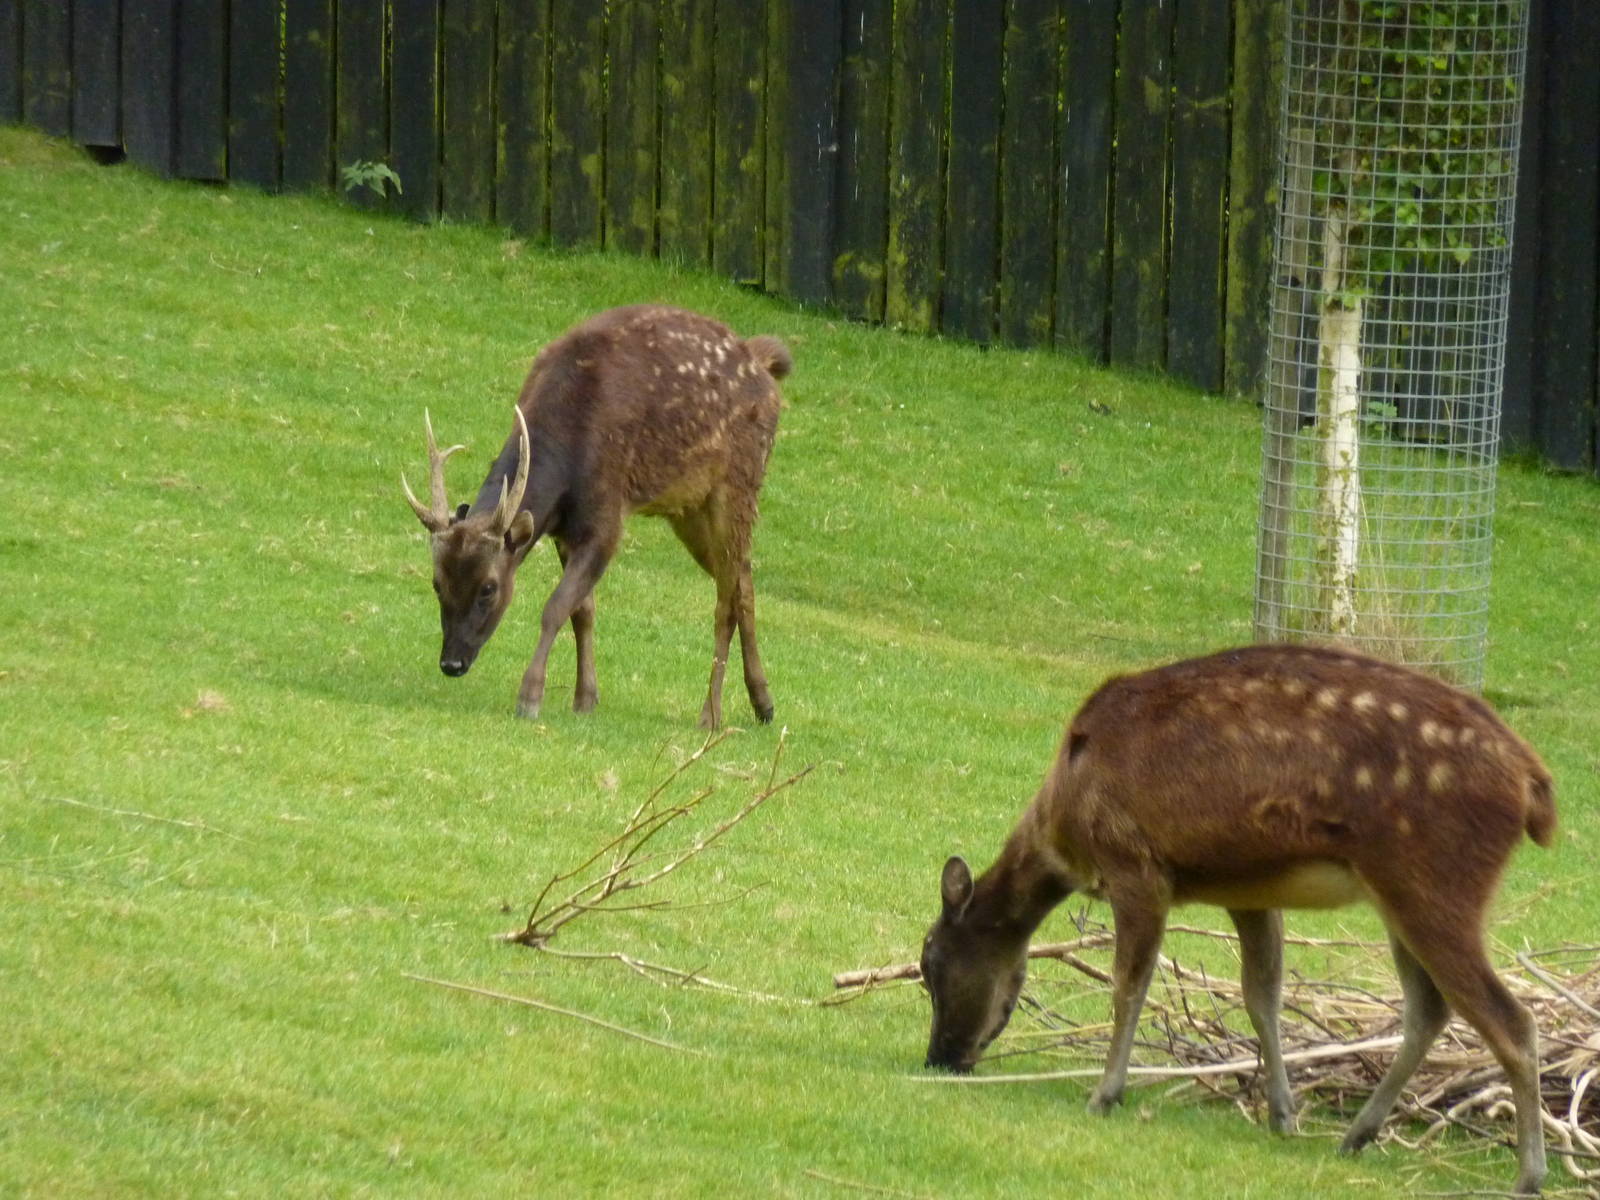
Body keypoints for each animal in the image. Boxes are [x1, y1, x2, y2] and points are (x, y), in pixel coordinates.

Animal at [401, 304, 792, 728]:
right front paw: (585, 698)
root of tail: (765, 367)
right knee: (743, 583)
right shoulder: (562, 529)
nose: (452, 662)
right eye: (436, 582)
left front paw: (530, 697)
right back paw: (764, 703)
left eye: (489, 587)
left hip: (739, 483)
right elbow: (582, 610)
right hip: (689, 508)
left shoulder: (606, 517)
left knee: (725, 603)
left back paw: (711, 714)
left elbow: (556, 607)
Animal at [920, 643, 1556, 1196]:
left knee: (1511, 1019)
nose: (940, 1059)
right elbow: (1262, 993)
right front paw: (1282, 1114)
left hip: (1434, 879)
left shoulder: (1136, 862)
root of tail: (1532, 784)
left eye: (930, 965)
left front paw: (1105, 1095)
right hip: (1401, 894)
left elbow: (1131, 984)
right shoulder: (1248, 890)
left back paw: (1528, 1176)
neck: (1066, 821)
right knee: (1430, 1007)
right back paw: (1355, 1136)